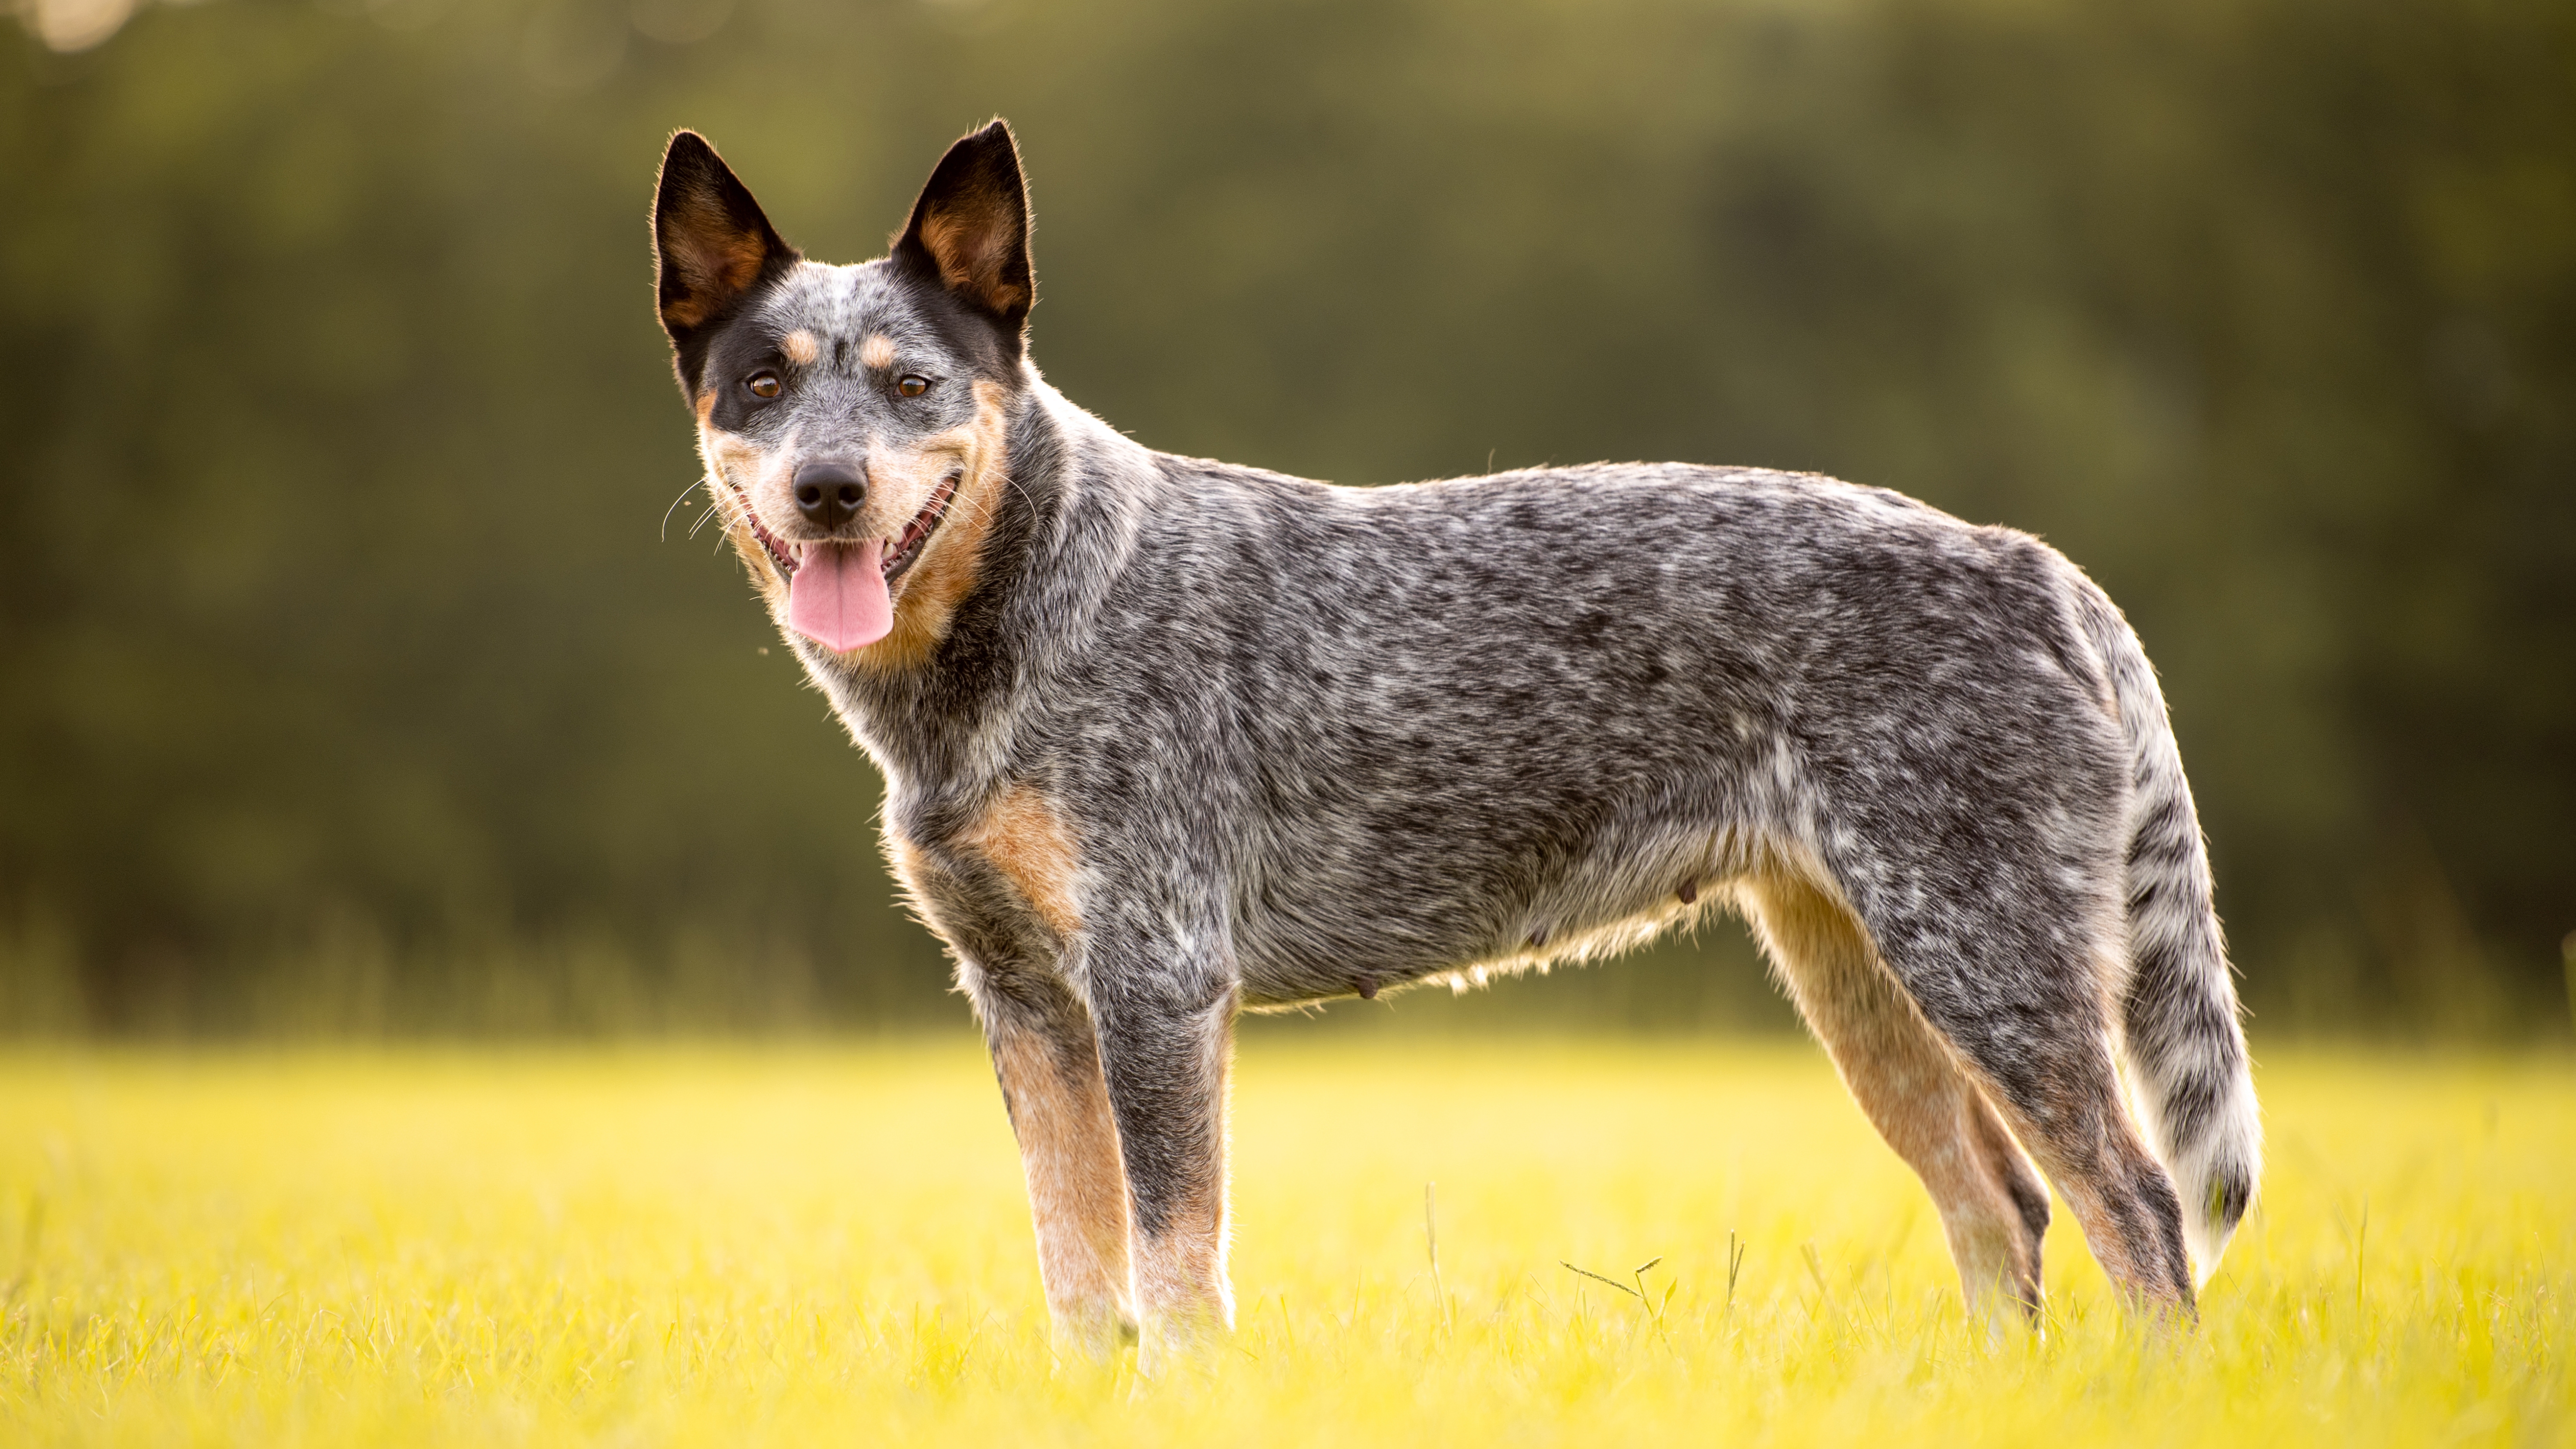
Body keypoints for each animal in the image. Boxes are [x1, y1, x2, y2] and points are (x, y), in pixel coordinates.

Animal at [644, 121, 2257, 1351]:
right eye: (763, 385)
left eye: (911, 382)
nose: (829, 489)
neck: (1038, 611)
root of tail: (2032, 564)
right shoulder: (1022, 999)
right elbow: (1075, 1270)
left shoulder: (1157, 980)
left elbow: (1171, 1263)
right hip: (1860, 981)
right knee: (2006, 1212)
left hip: (1985, 965)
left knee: (2134, 1207)